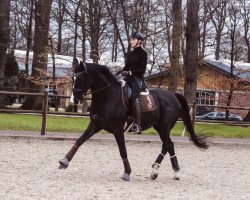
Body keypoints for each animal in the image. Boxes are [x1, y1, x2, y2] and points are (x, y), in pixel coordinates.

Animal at [58, 61, 207, 181]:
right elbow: (79, 141)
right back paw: (165, 172)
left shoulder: (118, 130)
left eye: (81, 77)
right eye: (73, 78)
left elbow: (122, 151)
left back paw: (163, 171)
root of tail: (173, 95)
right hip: (160, 127)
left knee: (167, 144)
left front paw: (127, 173)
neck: (108, 96)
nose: (74, 99)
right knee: (168, 145)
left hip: (164, 127)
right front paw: (64, 161)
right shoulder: (95, 125)